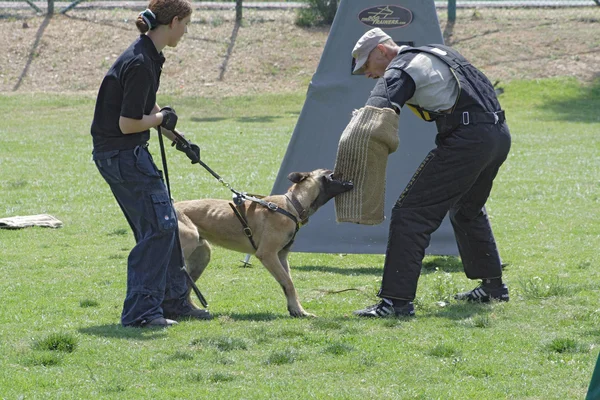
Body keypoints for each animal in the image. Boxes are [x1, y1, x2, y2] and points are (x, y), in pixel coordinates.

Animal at [173, 170, 352, 318]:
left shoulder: (281, 256)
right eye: (331, 174)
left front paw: (297, 310)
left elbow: (288, 284)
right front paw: (297, 310)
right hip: (189, 240)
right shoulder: (268, 255)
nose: (351, 180)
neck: (292, 205)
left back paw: (192, 310)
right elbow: (288, 282)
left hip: (201, 256)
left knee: (187, 286)